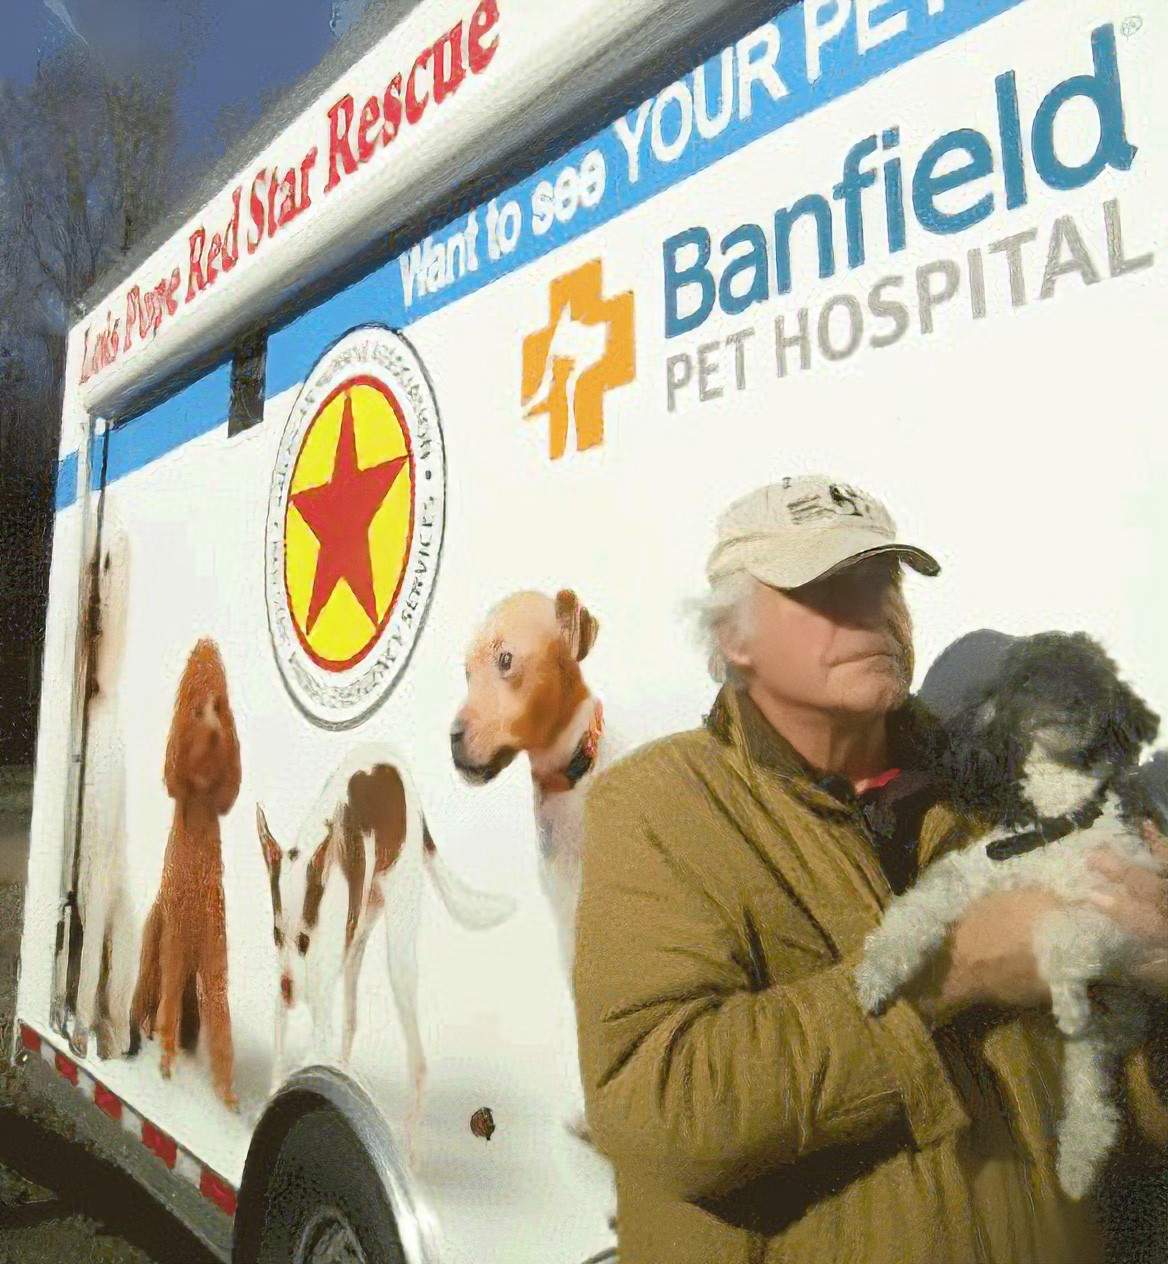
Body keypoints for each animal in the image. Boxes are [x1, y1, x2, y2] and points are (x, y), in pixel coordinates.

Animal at [854, 629, 1162, 1193]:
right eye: (1027, 680)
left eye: (1094, 676)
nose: (1075, 703)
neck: (1058, 821)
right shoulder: (975, 869)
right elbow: (917, 907)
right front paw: (878, 973)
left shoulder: (1126, 908)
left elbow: (1058, 930)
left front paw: (1067, 998)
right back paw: (1079, 1160)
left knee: (1091, 1085)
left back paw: (1078, 1158)